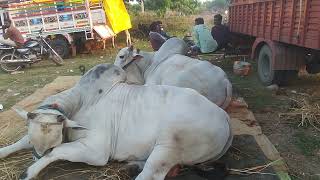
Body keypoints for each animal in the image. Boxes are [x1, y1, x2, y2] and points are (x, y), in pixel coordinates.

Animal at [1, 64, 234, 179]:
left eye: (51, 145)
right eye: (34, 142)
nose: (35, 157)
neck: (81, 101)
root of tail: (225, 118)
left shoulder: (96, 151)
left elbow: (58, 152)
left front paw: (29, 172)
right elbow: (19, 142)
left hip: (169, 146)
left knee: (152, 174)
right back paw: (132, 165)